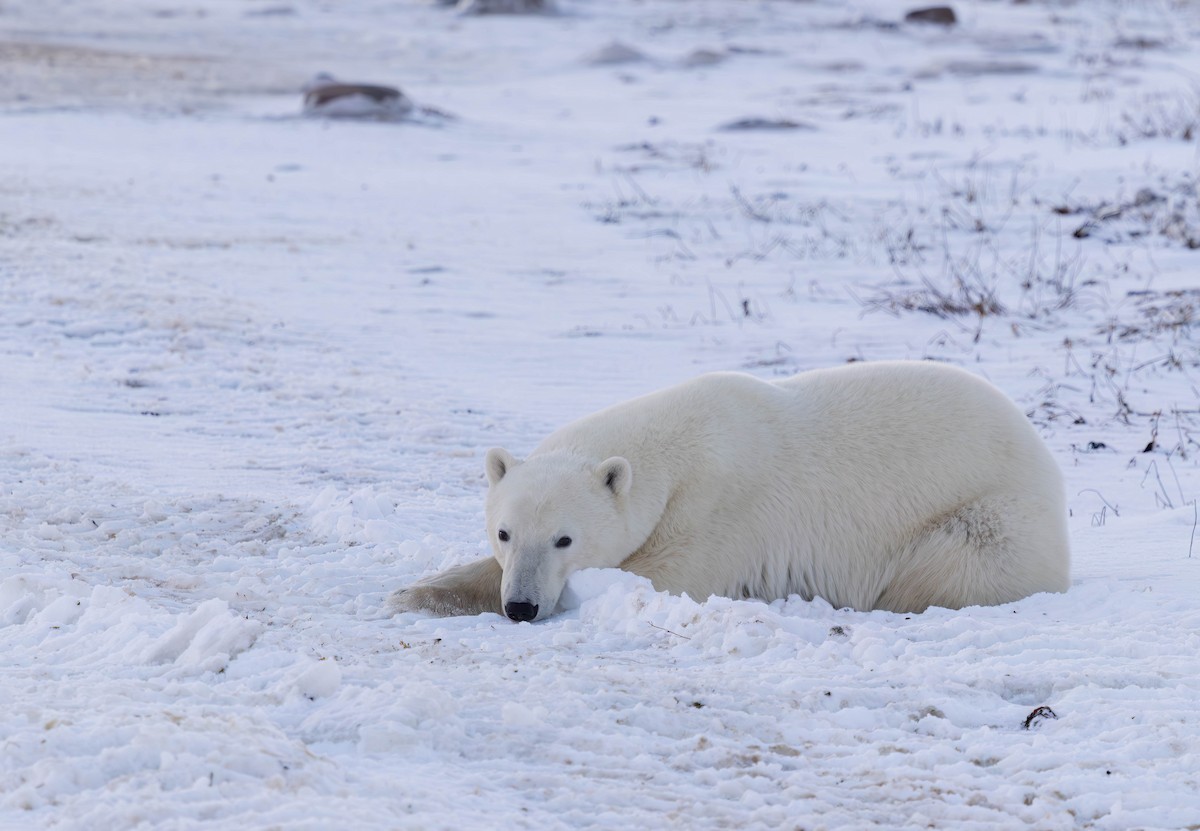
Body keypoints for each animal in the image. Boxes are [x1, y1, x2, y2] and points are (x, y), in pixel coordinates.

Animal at [388, 361, 1070, 622]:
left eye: (565, 539)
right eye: (504, 532)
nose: (522, 607)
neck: (677, 447)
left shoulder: (722, 512)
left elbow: (662, 575)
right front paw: (415, 590)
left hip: (988, 517)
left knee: (946, 566)